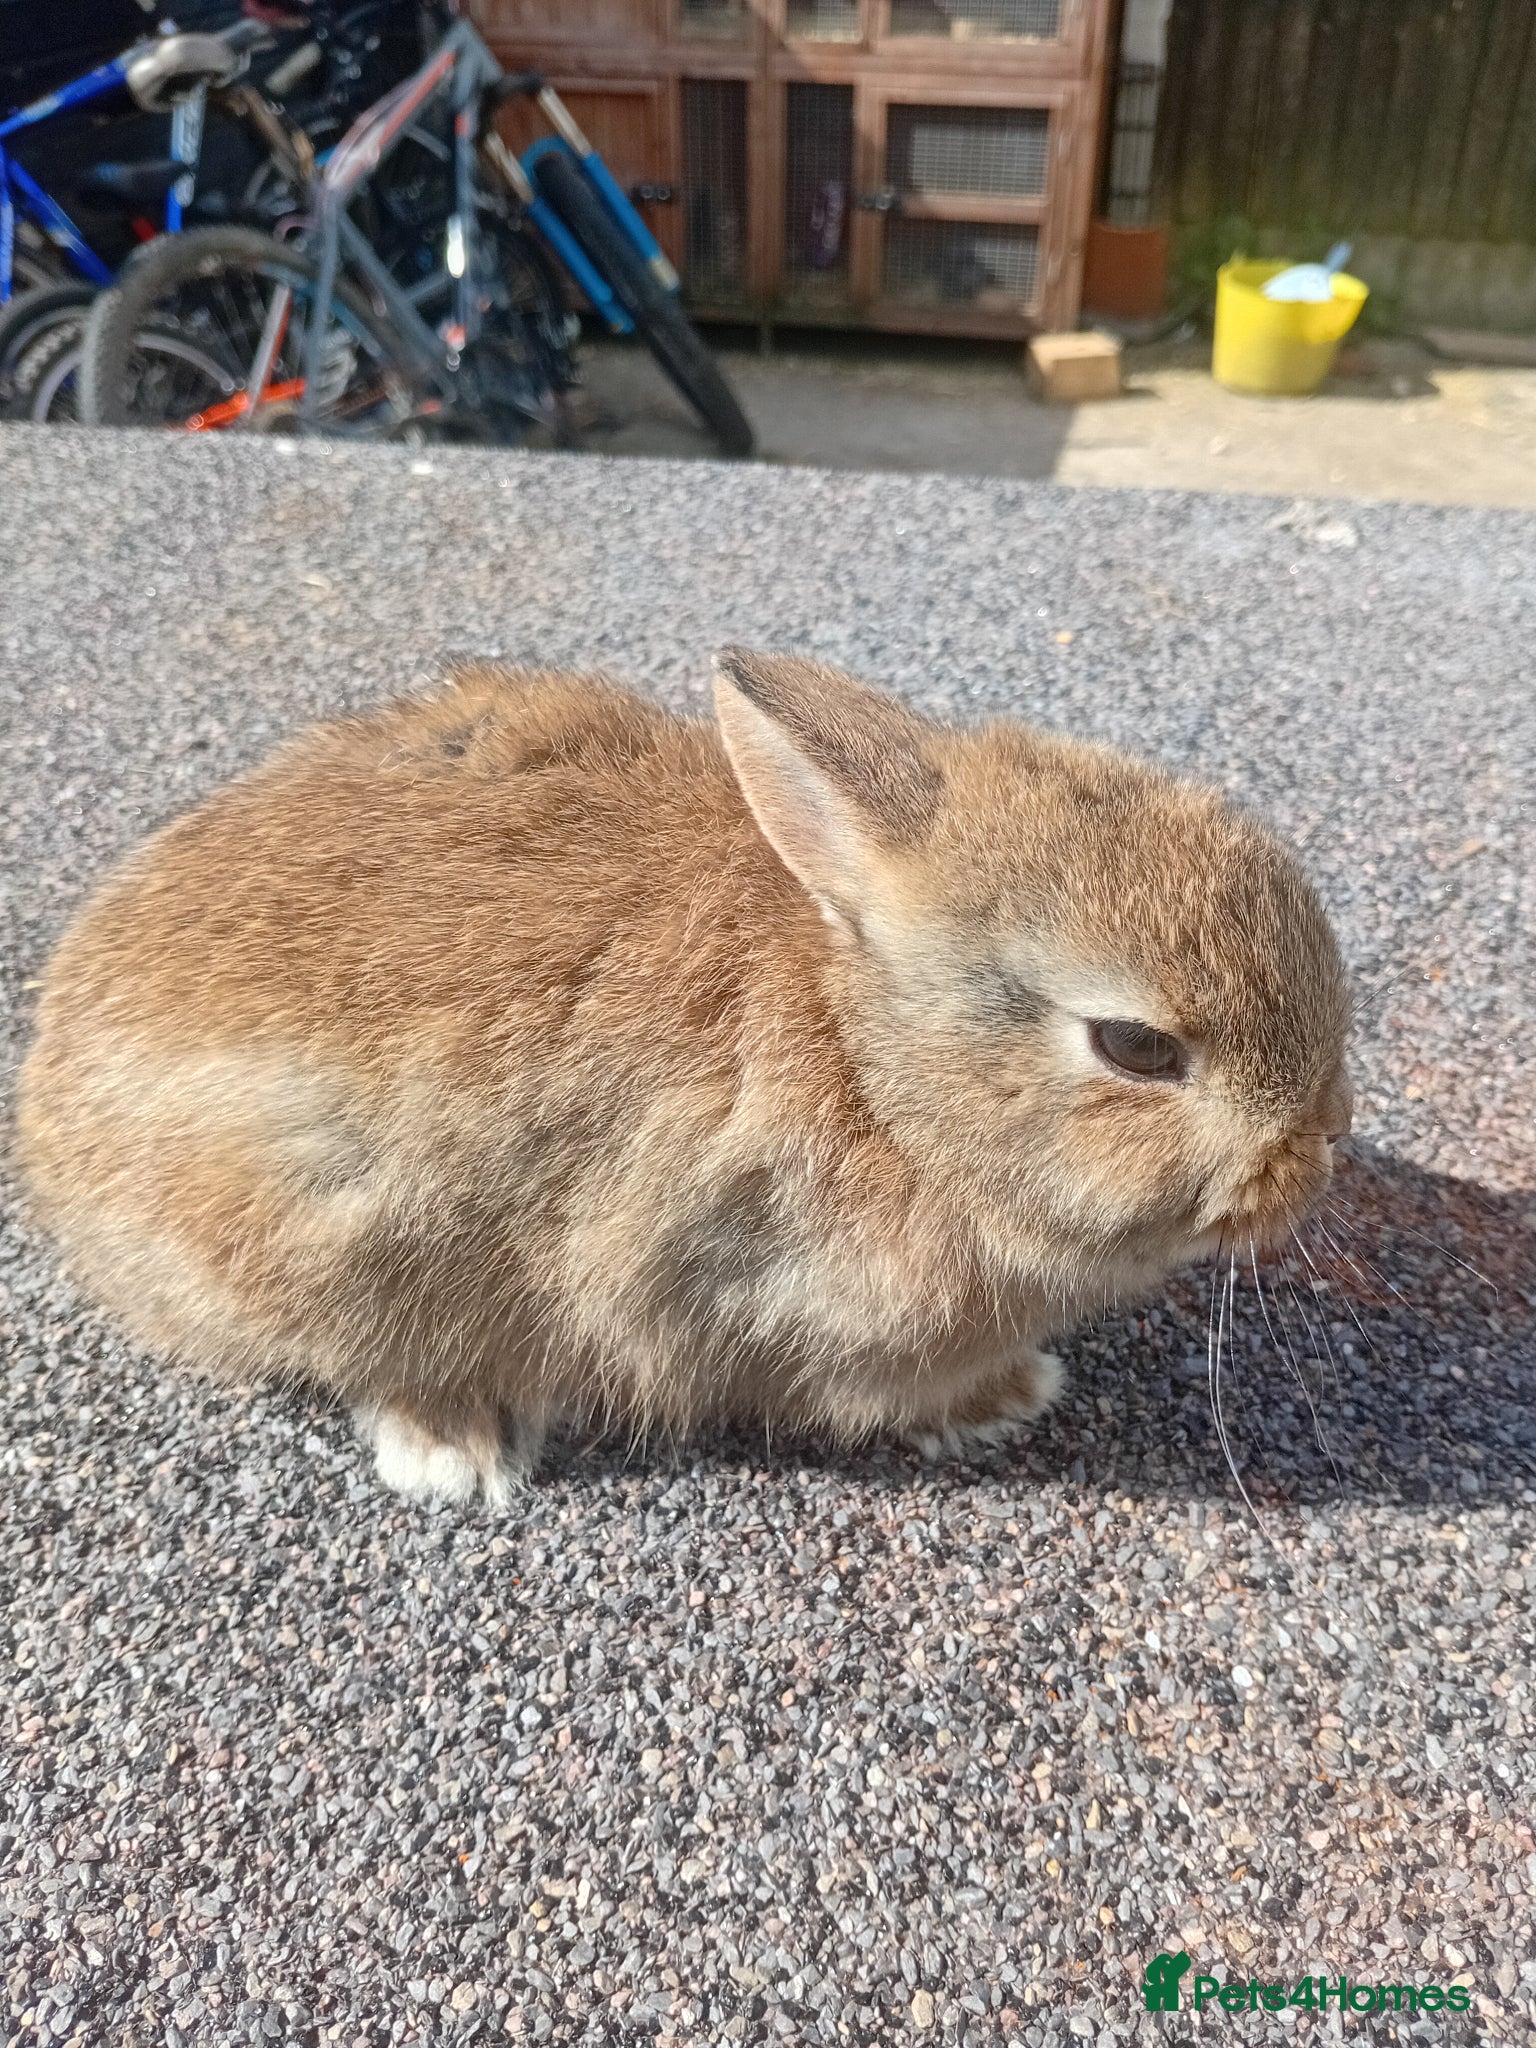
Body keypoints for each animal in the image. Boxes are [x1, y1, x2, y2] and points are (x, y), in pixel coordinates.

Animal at [17, 650, 1352, 1504]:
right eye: (1137, 1048)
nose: (1319, 1147)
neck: (881, 1070)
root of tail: (42, 1123)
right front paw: (1002, 1397)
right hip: (325, 1235)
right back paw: (458, 1448)